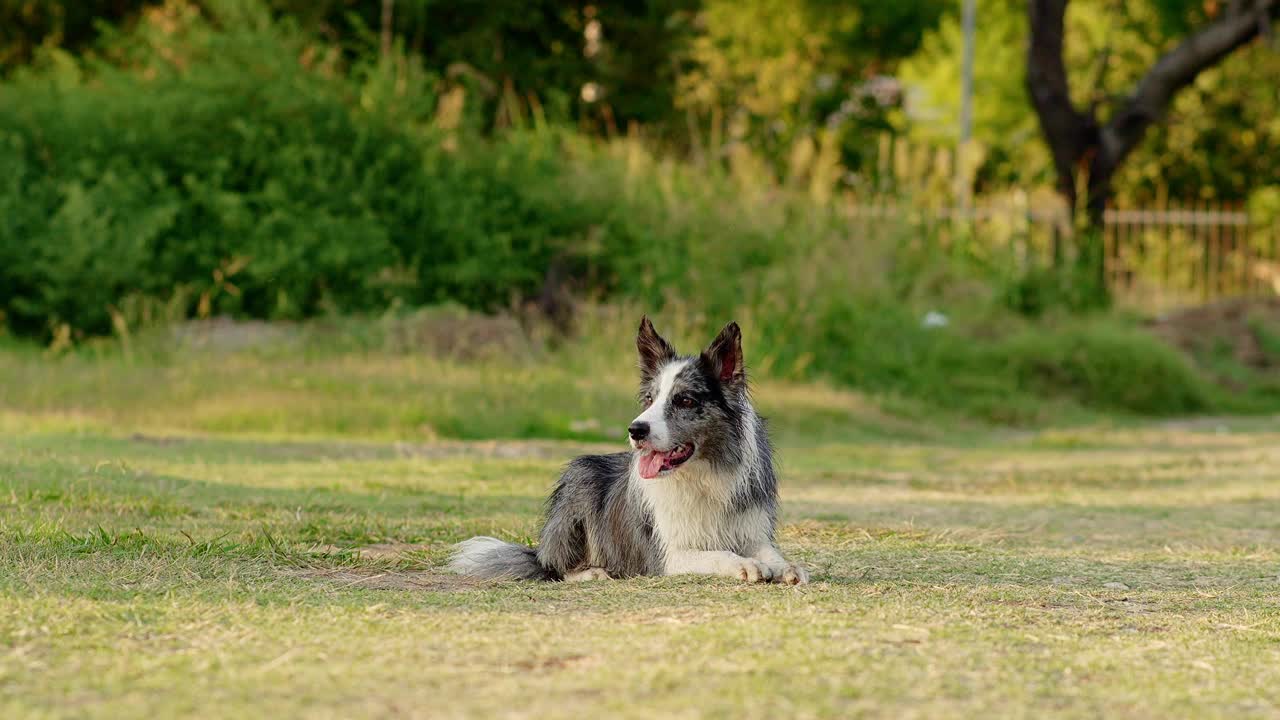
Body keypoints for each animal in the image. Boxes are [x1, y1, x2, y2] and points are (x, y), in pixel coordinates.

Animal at [450, 317, 808, 584]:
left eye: (685, 400)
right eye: (649, 399)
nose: (635, 430)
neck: (702, 475)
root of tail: (539, 551)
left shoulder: (752, 533)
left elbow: (771, 553)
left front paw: (787, 567)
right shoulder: (668, 554)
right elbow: (718, 554)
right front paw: (744, 565)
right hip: (580, 482)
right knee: (557, 569)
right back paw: (592, 573)